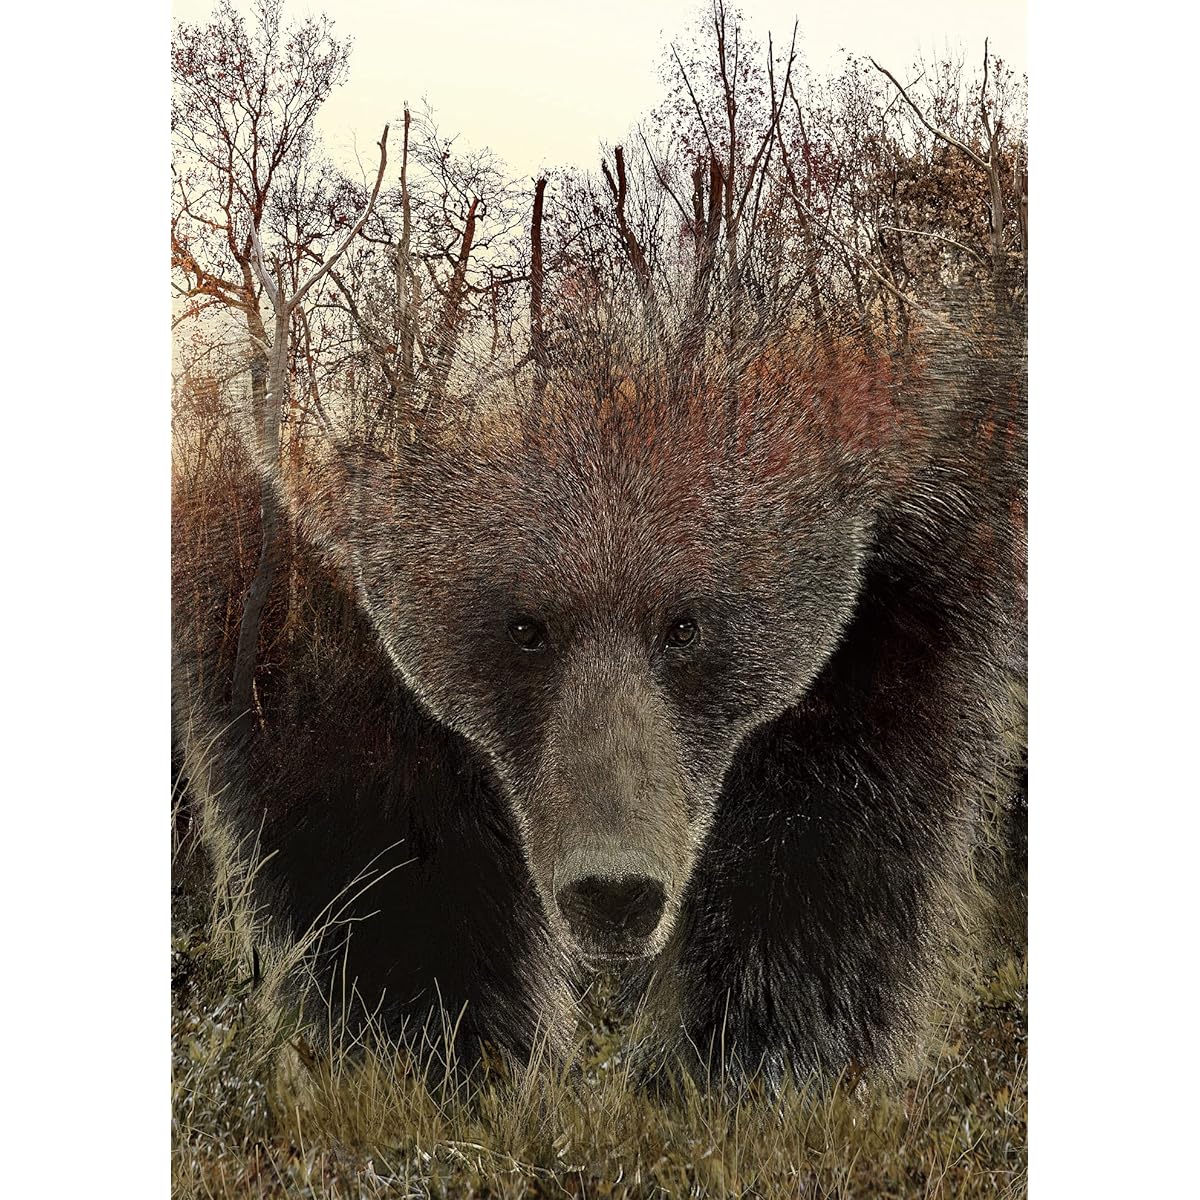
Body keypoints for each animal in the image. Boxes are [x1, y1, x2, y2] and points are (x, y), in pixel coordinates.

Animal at [173, 304, 1026, 1083]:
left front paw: (753, 1062)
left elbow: (844, 809)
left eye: (685, 626)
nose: (614, 890)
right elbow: (361, 821)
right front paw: (438, 1052)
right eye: (525, 627)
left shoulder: (937, 502)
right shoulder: (266, 539)